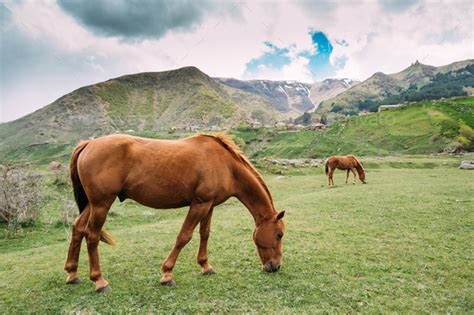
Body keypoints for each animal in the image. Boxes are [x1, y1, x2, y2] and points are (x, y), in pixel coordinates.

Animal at [65, 134, 286, 294]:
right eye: (279, 235)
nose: (275, 267)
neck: (226, 165)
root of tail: (88, 144)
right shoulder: (199, 205)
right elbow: (184, 236)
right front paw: (167, 274)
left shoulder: (209, 205)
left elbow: (204, 234)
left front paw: (206, 266)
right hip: (101, 204)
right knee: (92, 236)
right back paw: (99, 281)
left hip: (93, 204)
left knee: (78, 229)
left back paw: (72, 273)